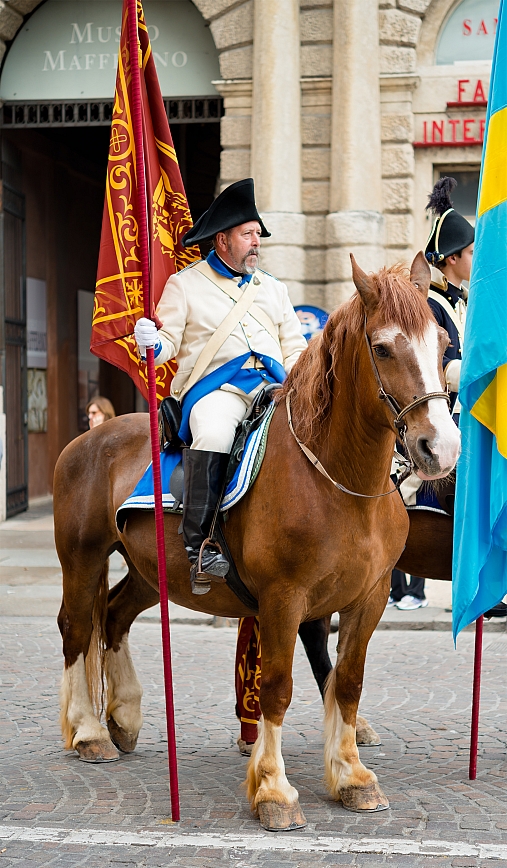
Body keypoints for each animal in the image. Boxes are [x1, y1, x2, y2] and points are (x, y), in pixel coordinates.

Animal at [54, 249, 460, 828]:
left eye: (443, 344)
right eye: (382, 346)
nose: (440, 448)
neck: (339, 483)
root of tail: (90, 436)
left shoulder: (371, 596)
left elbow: (349, 681)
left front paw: (352, 777)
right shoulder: (283, 600)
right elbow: (276, 689)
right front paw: (273, 788)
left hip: (150, 571)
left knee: (112, 616)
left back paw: (124, 717)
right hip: (83, 557)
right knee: (76, 628)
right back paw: (88, 731)